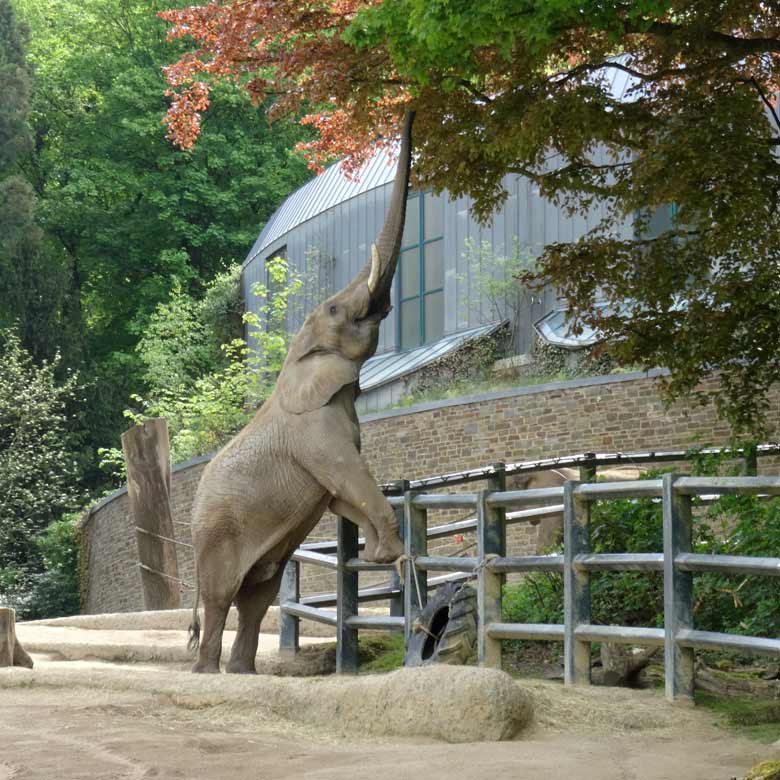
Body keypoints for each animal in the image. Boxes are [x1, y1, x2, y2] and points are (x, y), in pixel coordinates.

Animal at [188, 111, 414, 676]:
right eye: (334, 310)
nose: (412, 109)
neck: (297, 360)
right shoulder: (315, 432)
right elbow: (349, 477)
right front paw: (391, 554)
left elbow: (341, 497)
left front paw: (375, 554)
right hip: (216, 535)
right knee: (221, 597)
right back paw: (208, 675)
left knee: (258, 597)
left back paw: (244, 674)